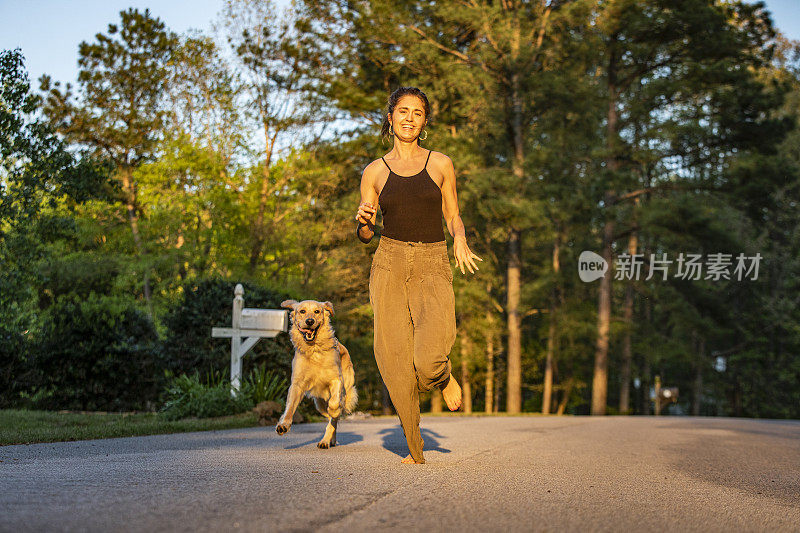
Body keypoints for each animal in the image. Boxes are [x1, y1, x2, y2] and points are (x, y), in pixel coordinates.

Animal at [278, 298, 360, 446]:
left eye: (317, 311)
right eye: (302, 311)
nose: (310, 321)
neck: (314, 349)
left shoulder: (336, 379)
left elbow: (334, 404)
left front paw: (335, 411)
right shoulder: (297, 384)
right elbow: (290, 407)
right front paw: (283, 425)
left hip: (346, 388)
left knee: (334, 417)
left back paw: (326, 440)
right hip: (319, 403)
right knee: (330, 418)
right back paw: (330, 440)